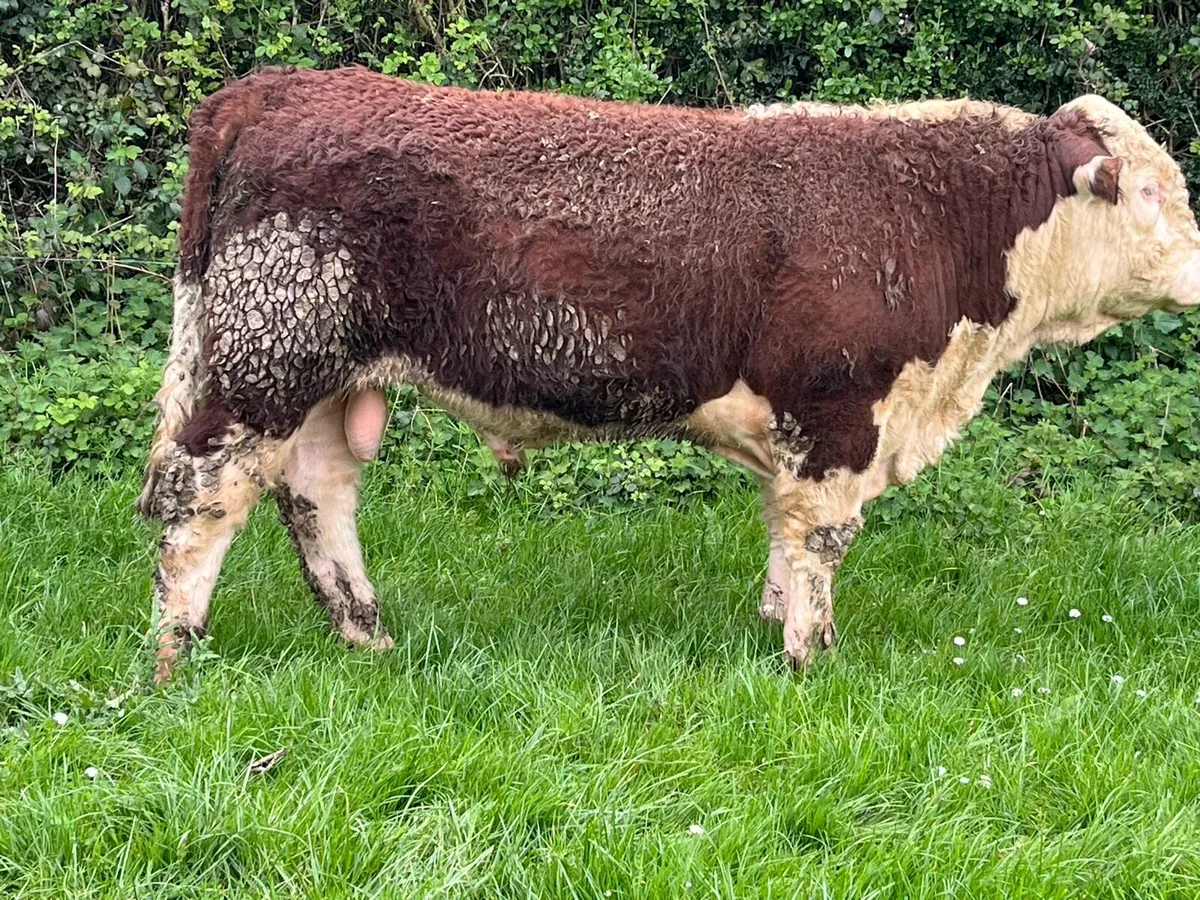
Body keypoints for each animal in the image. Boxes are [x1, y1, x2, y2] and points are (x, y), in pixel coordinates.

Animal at [137, 65, 1200, 683]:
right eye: (1152, 191)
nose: (1199, 267)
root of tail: (271, 89)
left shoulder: (802, 428)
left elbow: (785, 531)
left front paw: (776, 626)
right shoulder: (838, 411)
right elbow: (823, 539)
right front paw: (813, 658)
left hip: (320, 378)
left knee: (317, 494)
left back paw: (366, 637)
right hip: (266, 356)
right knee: (202, 497)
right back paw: (175, 656)